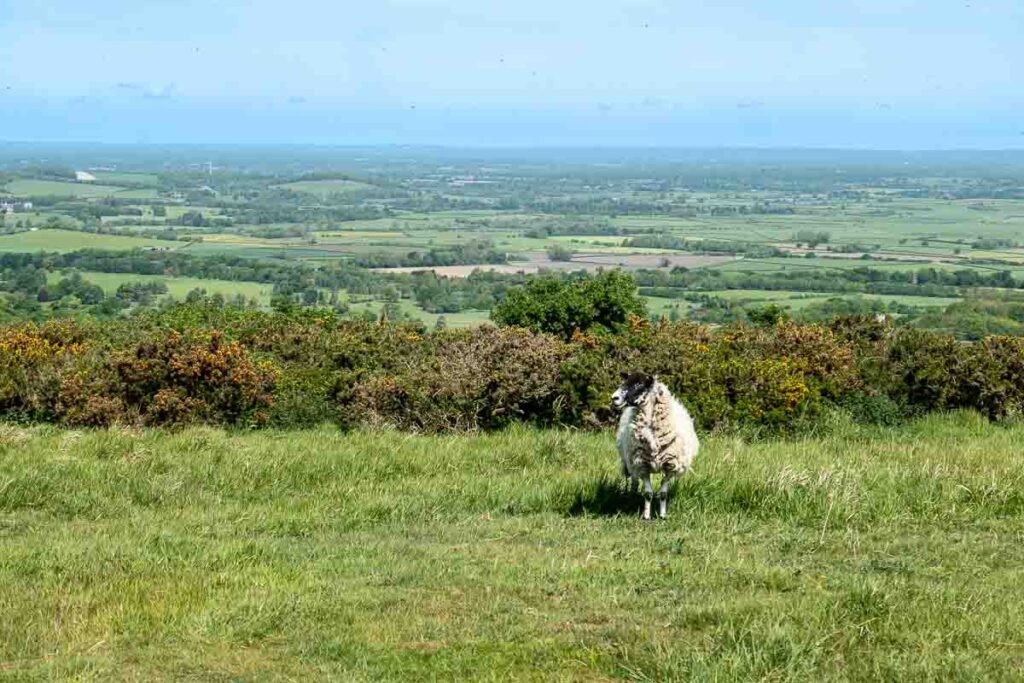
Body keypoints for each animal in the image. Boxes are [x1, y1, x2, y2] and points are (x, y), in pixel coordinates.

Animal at [610, 374, 700, 518]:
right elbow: (648, 494)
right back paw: (632, 496)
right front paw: (646, 516)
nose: (614, 398)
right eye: (626, 380)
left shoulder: (669, 466)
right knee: (634, 481)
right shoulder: (642, 465)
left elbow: (663, 494)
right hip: (631, 463)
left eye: (639, 384)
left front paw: (663, 515)